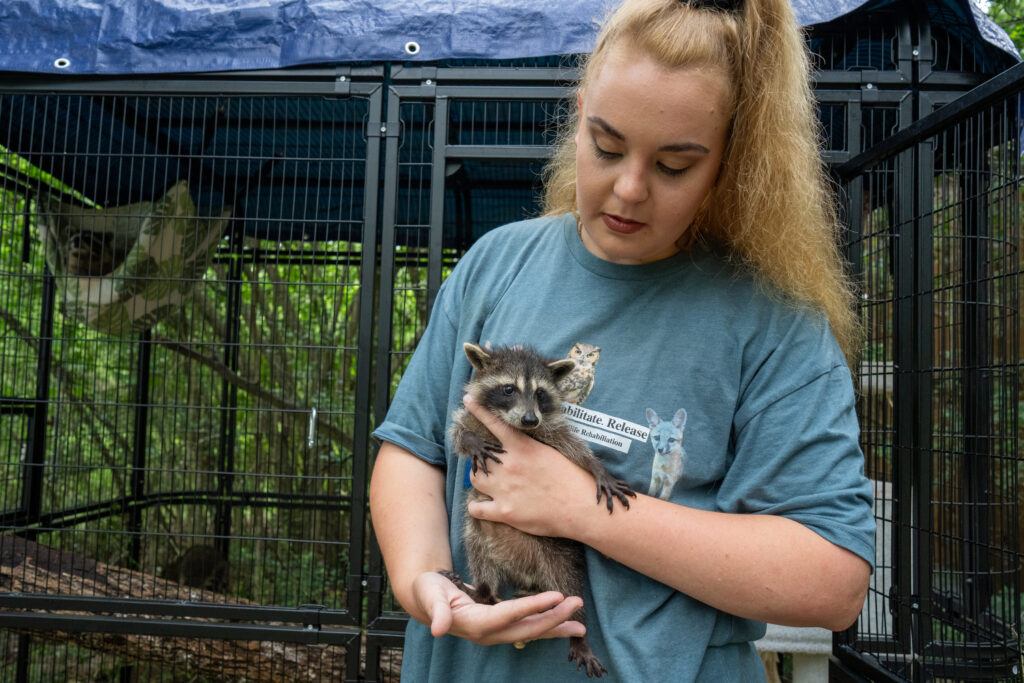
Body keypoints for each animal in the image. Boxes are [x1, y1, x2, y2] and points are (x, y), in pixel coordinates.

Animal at [446, 342, 634, 679]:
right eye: (509, 389)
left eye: (541, 393)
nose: (530, 419)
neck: (513, 427)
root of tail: (527, 578)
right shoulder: (470, 415)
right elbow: (458, 435)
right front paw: (471, 440)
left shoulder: (552, 429)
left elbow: (578, 451)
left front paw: (598, 469)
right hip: (477, 527)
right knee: (477, 551)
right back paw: (483, 592)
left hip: (558, 553)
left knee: (570, 589)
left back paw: (580, 634)